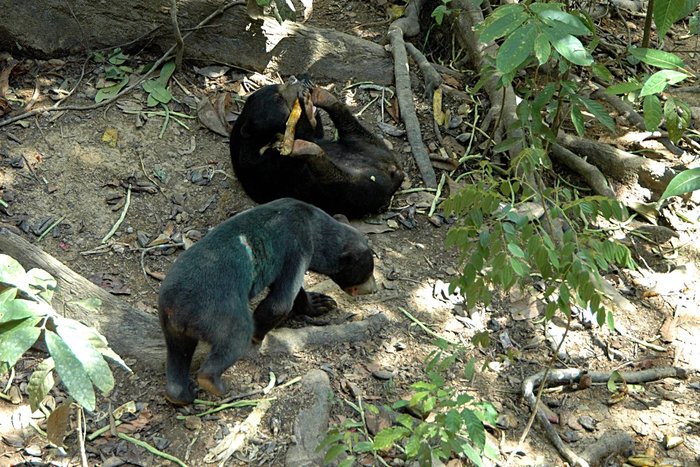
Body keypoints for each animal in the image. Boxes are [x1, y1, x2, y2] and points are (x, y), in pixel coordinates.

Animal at [157, 198, 378, 406]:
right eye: (368, 272)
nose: (374, 288)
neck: (314, 224)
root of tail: (178, 309)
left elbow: (290, 290)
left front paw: (321, 301)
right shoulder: (298, 246)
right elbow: (281, 300)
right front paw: (259, 335)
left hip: (171, 325)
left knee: (179, 353)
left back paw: (180, 395)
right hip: (215, 311)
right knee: (235, 335)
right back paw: (214, 383)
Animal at [230, 78, 404, 219]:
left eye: (278, 85)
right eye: (278, 99)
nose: (293, 80)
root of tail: (393, 171)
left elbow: (316, 133)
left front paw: (309, 103)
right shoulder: (258, 166)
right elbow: (284, 162)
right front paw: (305, 109)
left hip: (370, 143)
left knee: (349, 126)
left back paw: (323, 97)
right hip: (356, 190)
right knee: (331, 174)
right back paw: (305, 147)